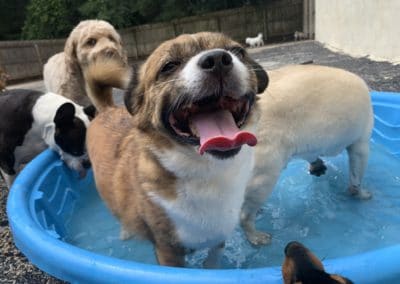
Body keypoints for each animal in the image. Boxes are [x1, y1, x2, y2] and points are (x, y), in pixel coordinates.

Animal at [85, 32, 268, 268]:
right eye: (169, 66)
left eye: (238, 52)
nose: (218, 59)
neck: (206, 171)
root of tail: (106, 108)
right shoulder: (168, 251)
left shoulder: (218, 239)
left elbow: (211, 265)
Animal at [239, 65, 374, 246]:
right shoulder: (361, 142)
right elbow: (356, 174)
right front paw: (361, 194)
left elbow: (311, 154)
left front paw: (317, 166)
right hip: (264, 164)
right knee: (248, 207)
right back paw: (255, 235)